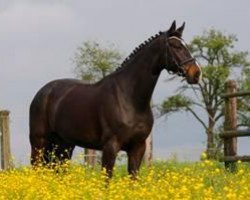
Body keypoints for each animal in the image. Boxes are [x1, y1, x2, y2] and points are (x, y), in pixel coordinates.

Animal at [29, 21, 201, 177]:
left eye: (186, 45)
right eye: (175, 46)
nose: (196, 73)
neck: (130, 98)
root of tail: (43, 92)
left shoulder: (138, 147)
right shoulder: (111, 146)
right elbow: (107, 180)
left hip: (64, 145)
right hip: (39, 143)